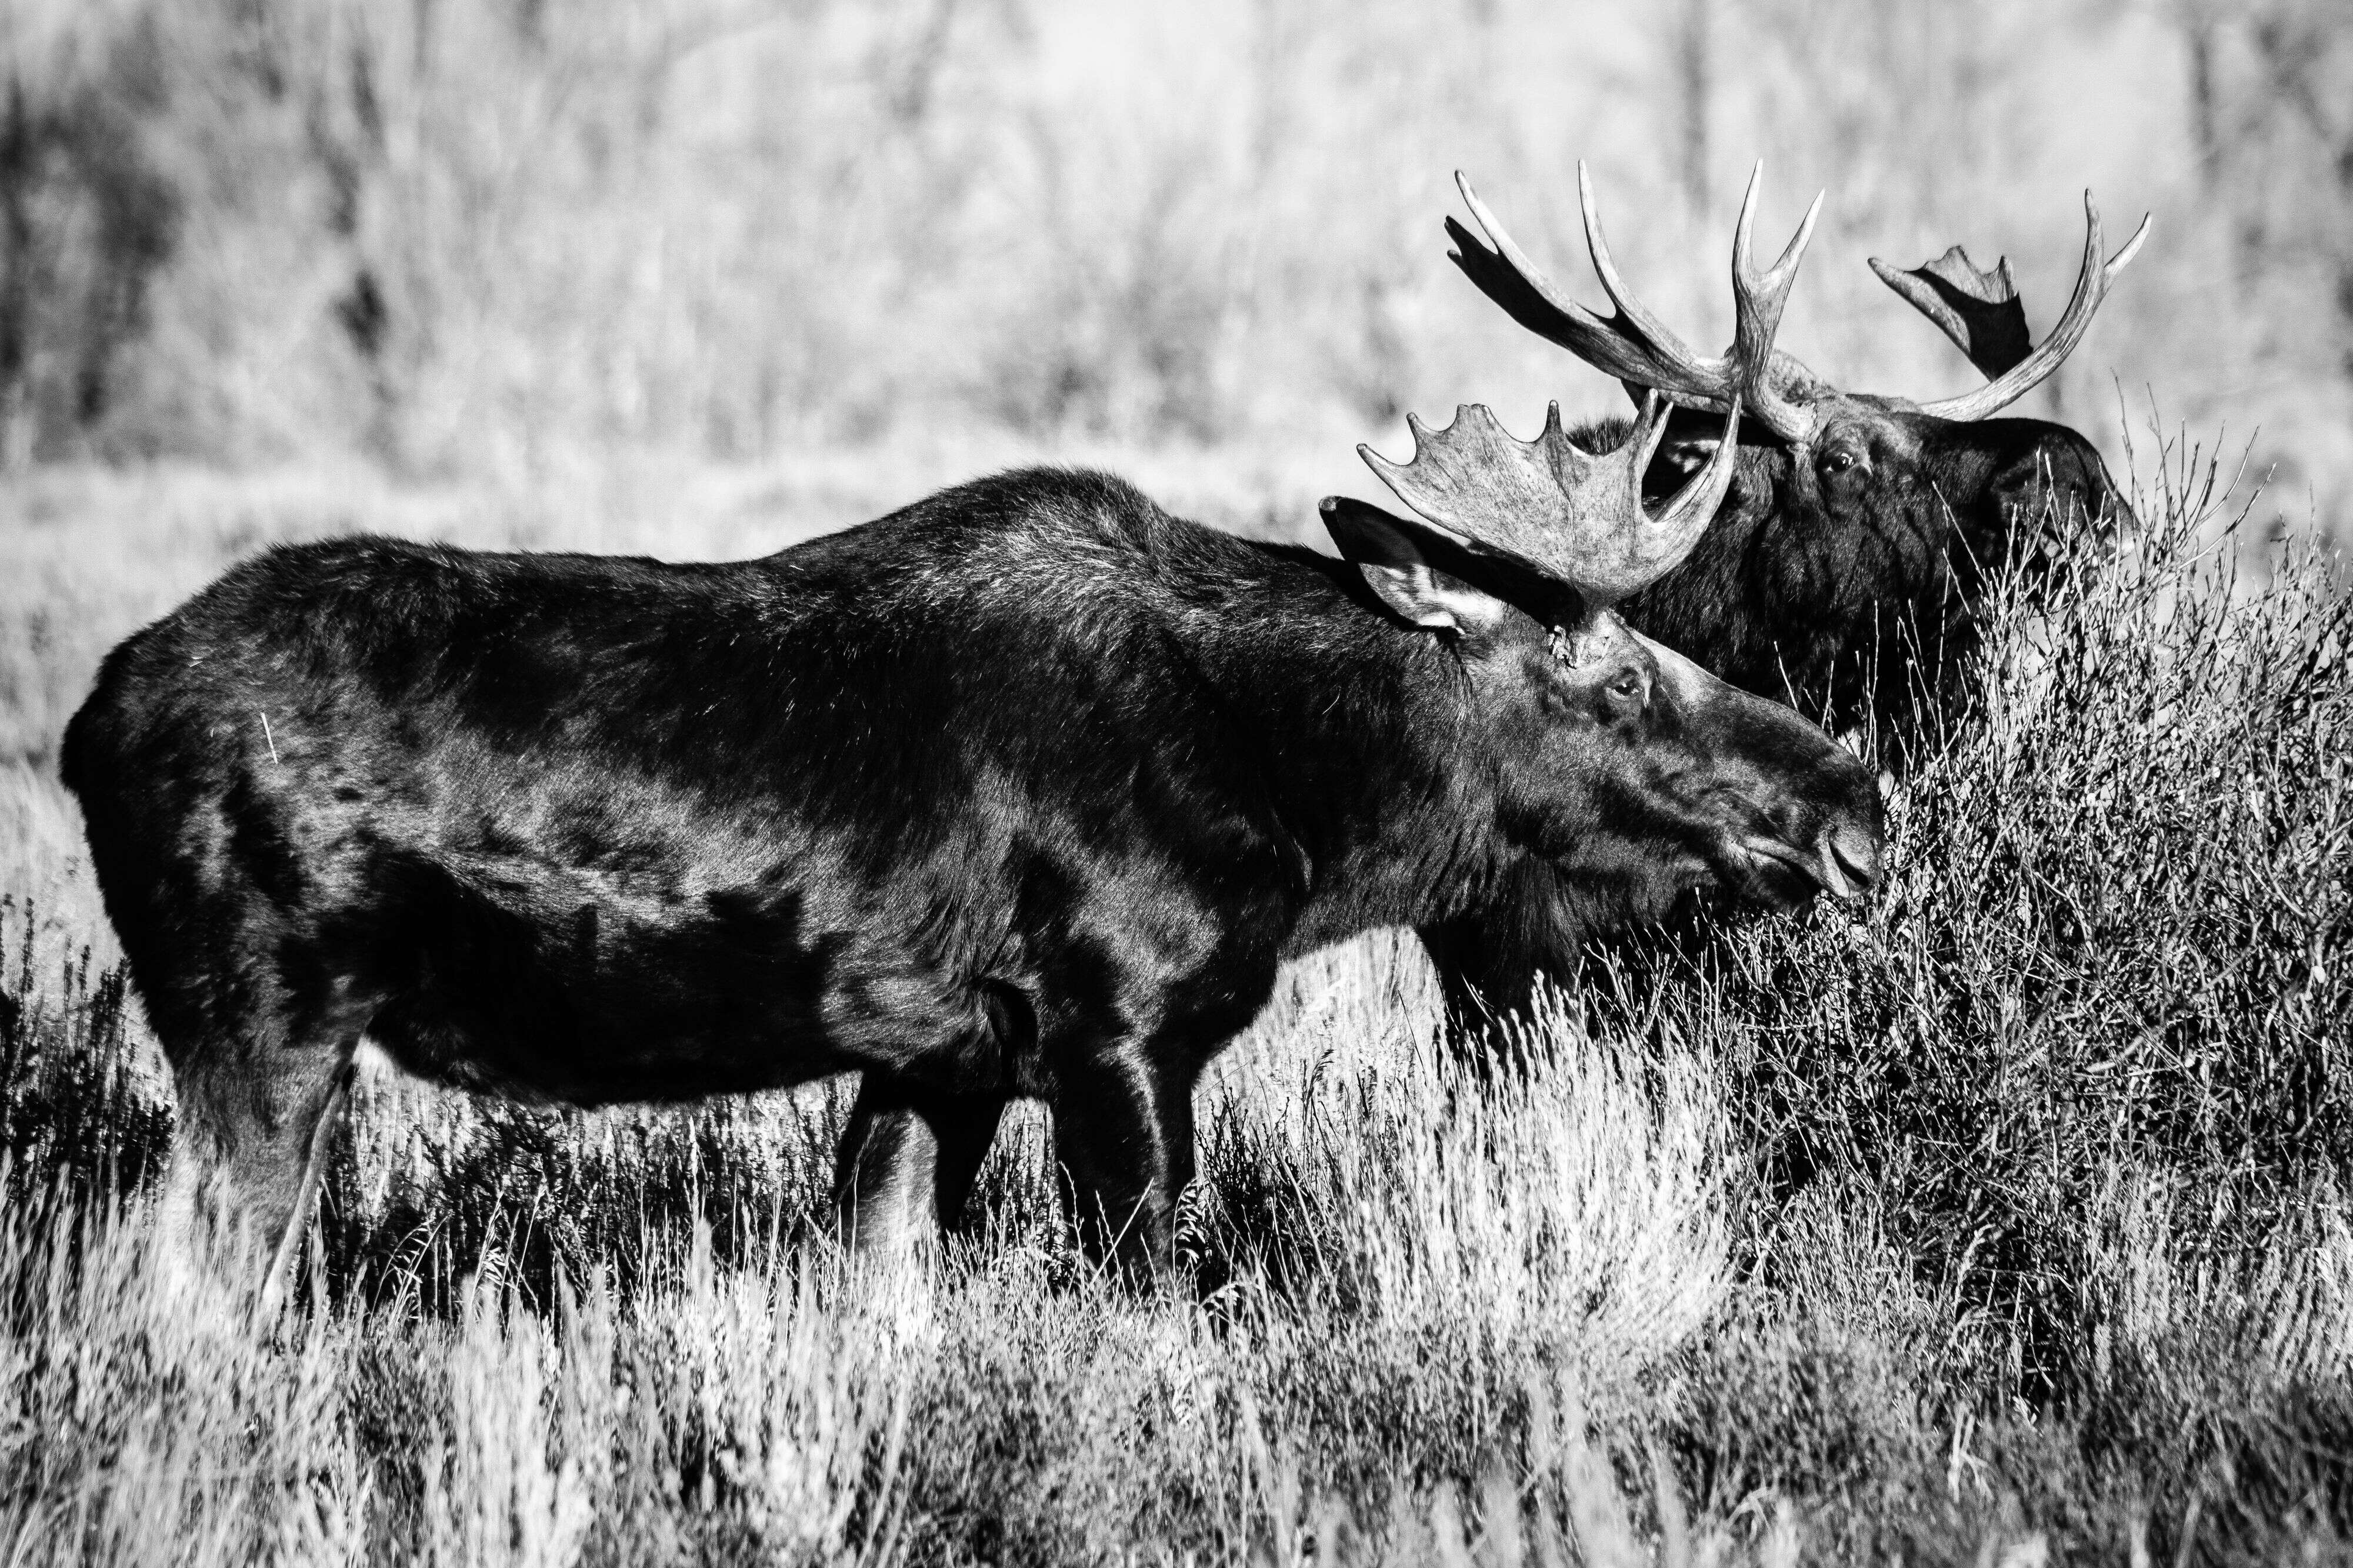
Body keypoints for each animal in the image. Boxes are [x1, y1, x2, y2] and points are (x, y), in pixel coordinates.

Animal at [61, 363, 1879, 1303]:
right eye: (1602, 660)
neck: (1306, 813)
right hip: (259, 1021)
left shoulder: (934, 1060)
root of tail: (92, 718)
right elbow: (1159, 1296)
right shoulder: (1117, 1033)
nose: (1855, 806)